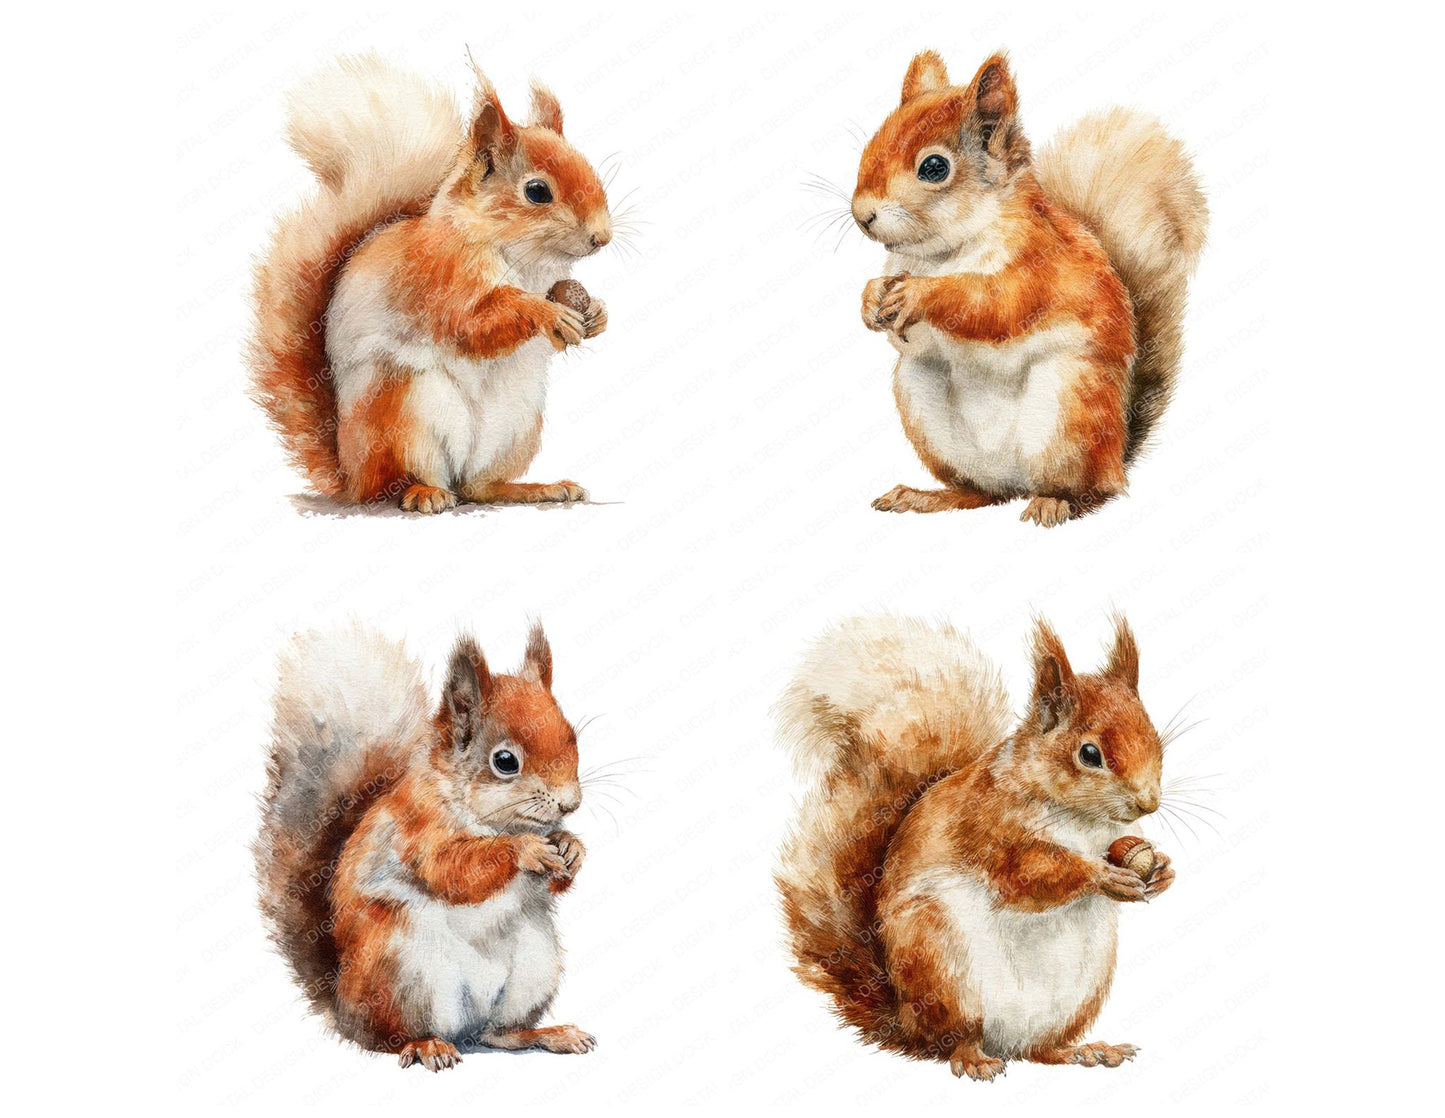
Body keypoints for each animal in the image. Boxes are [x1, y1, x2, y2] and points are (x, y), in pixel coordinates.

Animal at [248, 54, 613, 514]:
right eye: (537, 191)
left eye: (589, 168)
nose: (602, 237)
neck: (518, 254)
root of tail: (352, 476)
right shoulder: (440, 276)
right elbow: (473, 324)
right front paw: (547, 313)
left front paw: (594, 311)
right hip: (405, 413)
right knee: (399, 483)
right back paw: (424, 492)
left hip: (517, 422)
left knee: (477, 486)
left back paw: (536, 489)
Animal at [254, 623, 595, 1071]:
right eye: (505, 761)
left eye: (572, 737)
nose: (570, 803)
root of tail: (343, 1004)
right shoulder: (419, 829)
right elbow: (452, 870)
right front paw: (526, 850)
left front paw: (571, 847)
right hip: (402, 972)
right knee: (387, 1037)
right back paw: (426, 1045)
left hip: (533, 969)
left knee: (497, 1033)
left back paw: (547, 1034)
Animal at [775, 615, 1175, 1082]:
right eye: (1089, 754)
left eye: (1156, 738)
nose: (1148, 803)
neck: (1083, 821)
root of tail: (905, 1020)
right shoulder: (986, 828)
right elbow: (1026, 877)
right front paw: (1102, 875)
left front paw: (1162, 868)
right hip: (941, 966)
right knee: (957, 1037)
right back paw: (974, 1058)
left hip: (1082, 989)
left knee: (1042, 1048)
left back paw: (1085, 1050)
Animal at [852, 51, 1208, 526]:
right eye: (872, 143)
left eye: (934, 167)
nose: (861, 214)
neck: (942, 254)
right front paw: (871, 298)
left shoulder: (1039, 266)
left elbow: (995, 306)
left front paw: (920, 295)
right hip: (925, 408)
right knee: (983, 492)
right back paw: (928, 496)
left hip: (1069, 411)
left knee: (1095, 491)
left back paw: (1055, 502)